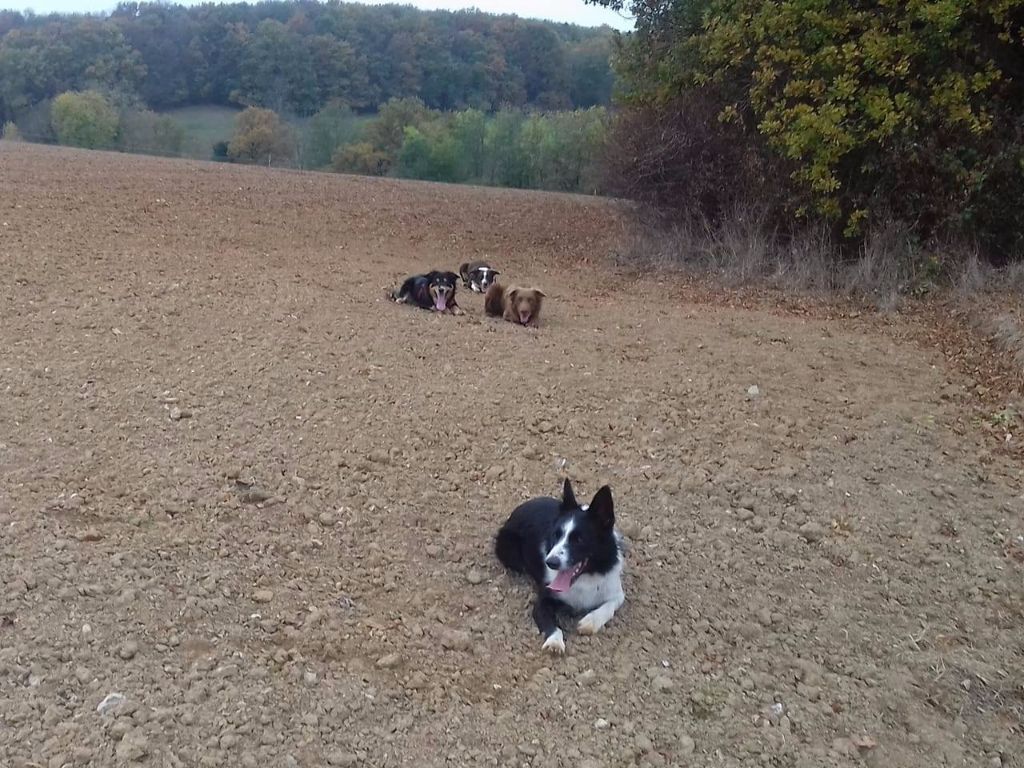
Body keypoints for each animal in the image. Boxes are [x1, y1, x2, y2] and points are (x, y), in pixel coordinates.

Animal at [493, 481, 626, 655]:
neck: (585, 578)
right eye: (556, 535)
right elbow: (552, 625)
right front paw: (554, 642)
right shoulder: (542, 602)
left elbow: (609, 606)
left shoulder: (616, 591)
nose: (551, 562)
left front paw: (590, 621)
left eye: (579, 539)